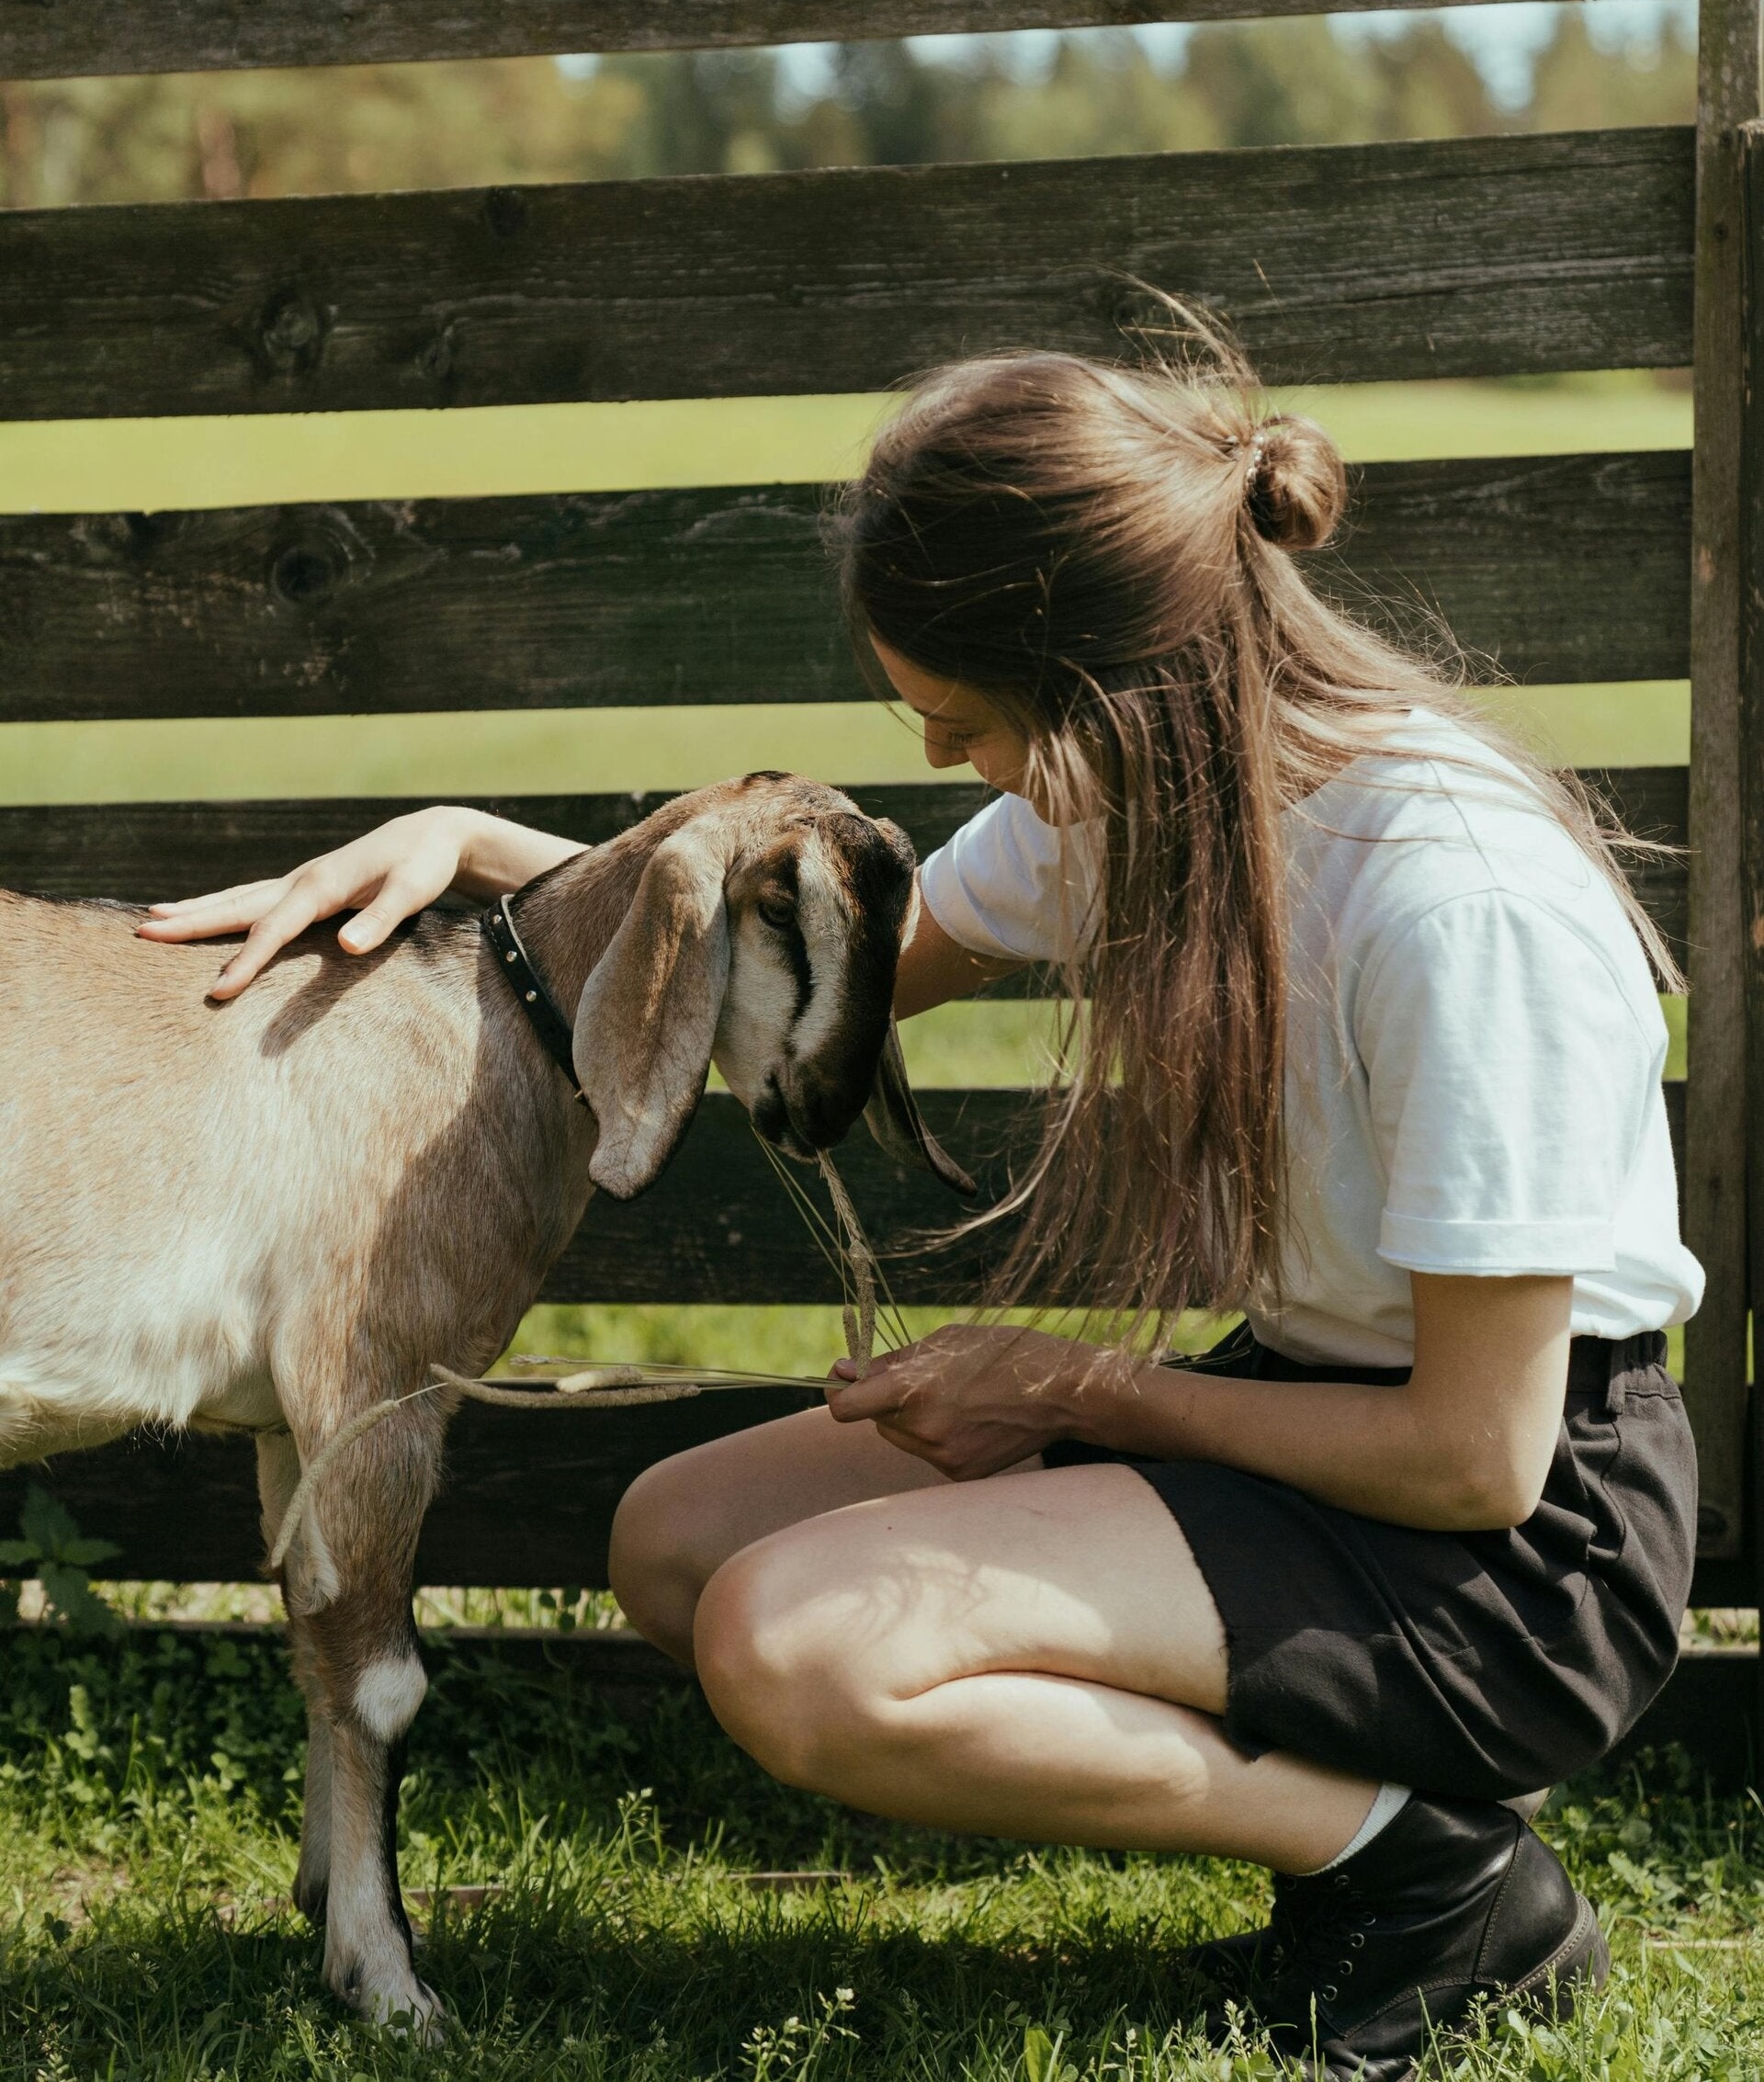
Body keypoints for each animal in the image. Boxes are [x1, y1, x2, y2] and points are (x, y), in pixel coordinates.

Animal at [0, 773, 967, 2033]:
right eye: (780, 908)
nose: (822, 1110)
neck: (483, 1031)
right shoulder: (377, 1381)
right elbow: (383, 1682)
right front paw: (388, 1980)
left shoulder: (295, 1427)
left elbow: (317, 1643)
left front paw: (325, 1901)